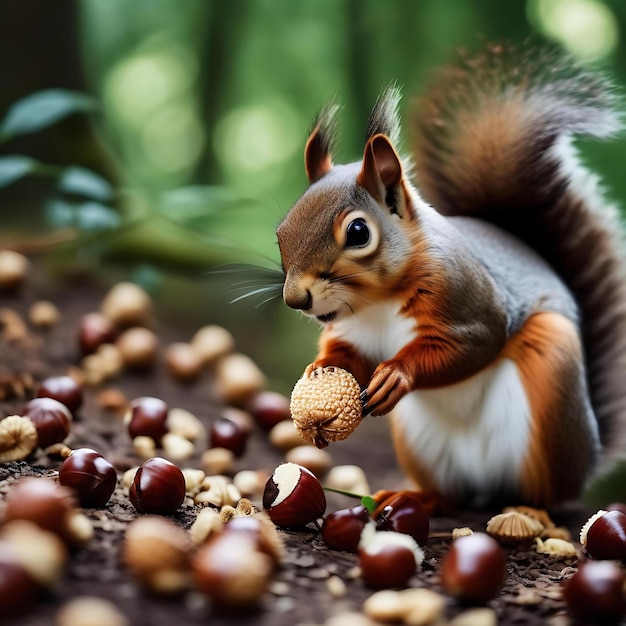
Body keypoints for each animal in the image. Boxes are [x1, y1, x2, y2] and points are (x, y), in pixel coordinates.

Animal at [276, 42, 624, 508]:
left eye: (358, 232)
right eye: (281, 231)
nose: (295, 299)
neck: (377, 304)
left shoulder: (470, 302)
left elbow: (474, 345)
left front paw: (397, 374)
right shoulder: (355, 332)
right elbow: (350, 356)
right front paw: (321, 367)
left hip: (553, 387)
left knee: (541, 492)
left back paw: (527, 507)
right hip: (424, 445)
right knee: (452, 494)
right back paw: (416, 498)